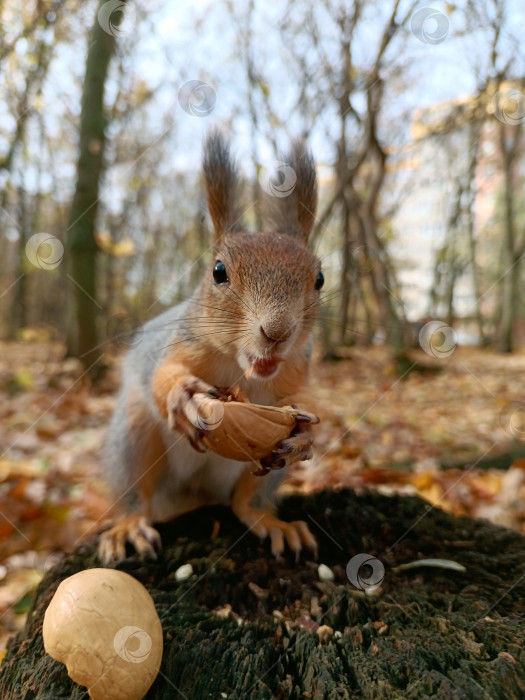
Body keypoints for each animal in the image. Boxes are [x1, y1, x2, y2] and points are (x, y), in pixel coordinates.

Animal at [96, 131, 322, 568]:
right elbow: (161, 376)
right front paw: (182, 395)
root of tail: (192, 499)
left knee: (245, 504)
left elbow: (301, 405)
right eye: (218, 272)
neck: (239, 369)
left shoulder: (293, 373)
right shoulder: (177, 344)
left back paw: (273, 524)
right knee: (134, 495)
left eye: (319, 279)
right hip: (133, 435)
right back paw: (129, 525)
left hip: (262, 472)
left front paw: (306, 436)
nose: (277, 332)